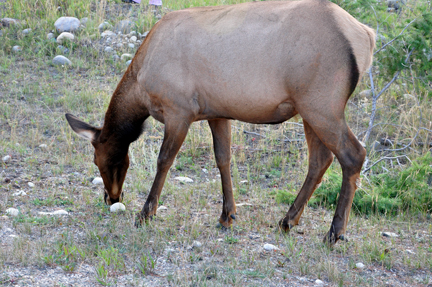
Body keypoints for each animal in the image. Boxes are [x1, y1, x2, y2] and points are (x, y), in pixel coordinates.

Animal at [65, 0, 374, 245]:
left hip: (322, 104)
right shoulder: (216, 112)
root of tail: (366, 35)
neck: (140, 89)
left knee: (354, 154)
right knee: (320, 160)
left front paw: (145, 213)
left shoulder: (179, 110)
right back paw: (288, 220)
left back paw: (334, 232)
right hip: (309, 109)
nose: (111, 198)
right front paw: (227, 215)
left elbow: (164, 160)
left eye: (100, 160)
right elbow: (223, 158)